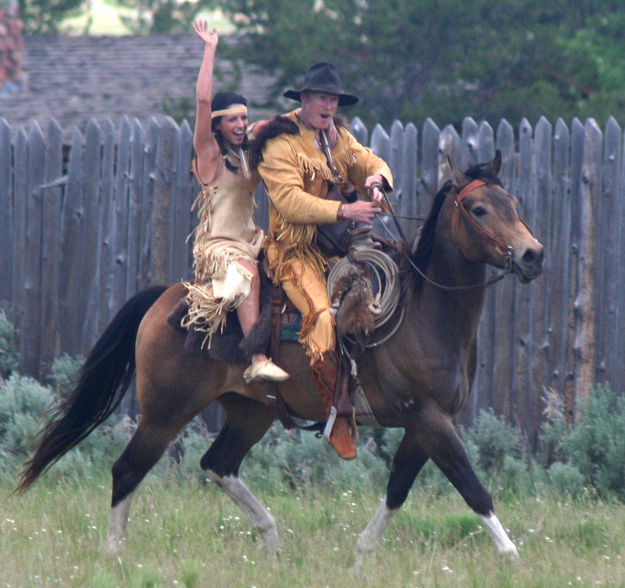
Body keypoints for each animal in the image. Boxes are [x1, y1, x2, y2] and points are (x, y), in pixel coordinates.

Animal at [14, 152, 540, 564]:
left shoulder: (425, 422)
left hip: (250, 412)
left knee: (217, 464)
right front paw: (512, 557)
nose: (532, 254)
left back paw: (271, 541)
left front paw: (361, 554)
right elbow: (473, 488)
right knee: (128, 469)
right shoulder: (430, 420)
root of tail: (167, 298)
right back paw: (114, 553)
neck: (423, 313)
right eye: (478, 208)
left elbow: (398, 488)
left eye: (514, 205)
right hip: (165, 412)